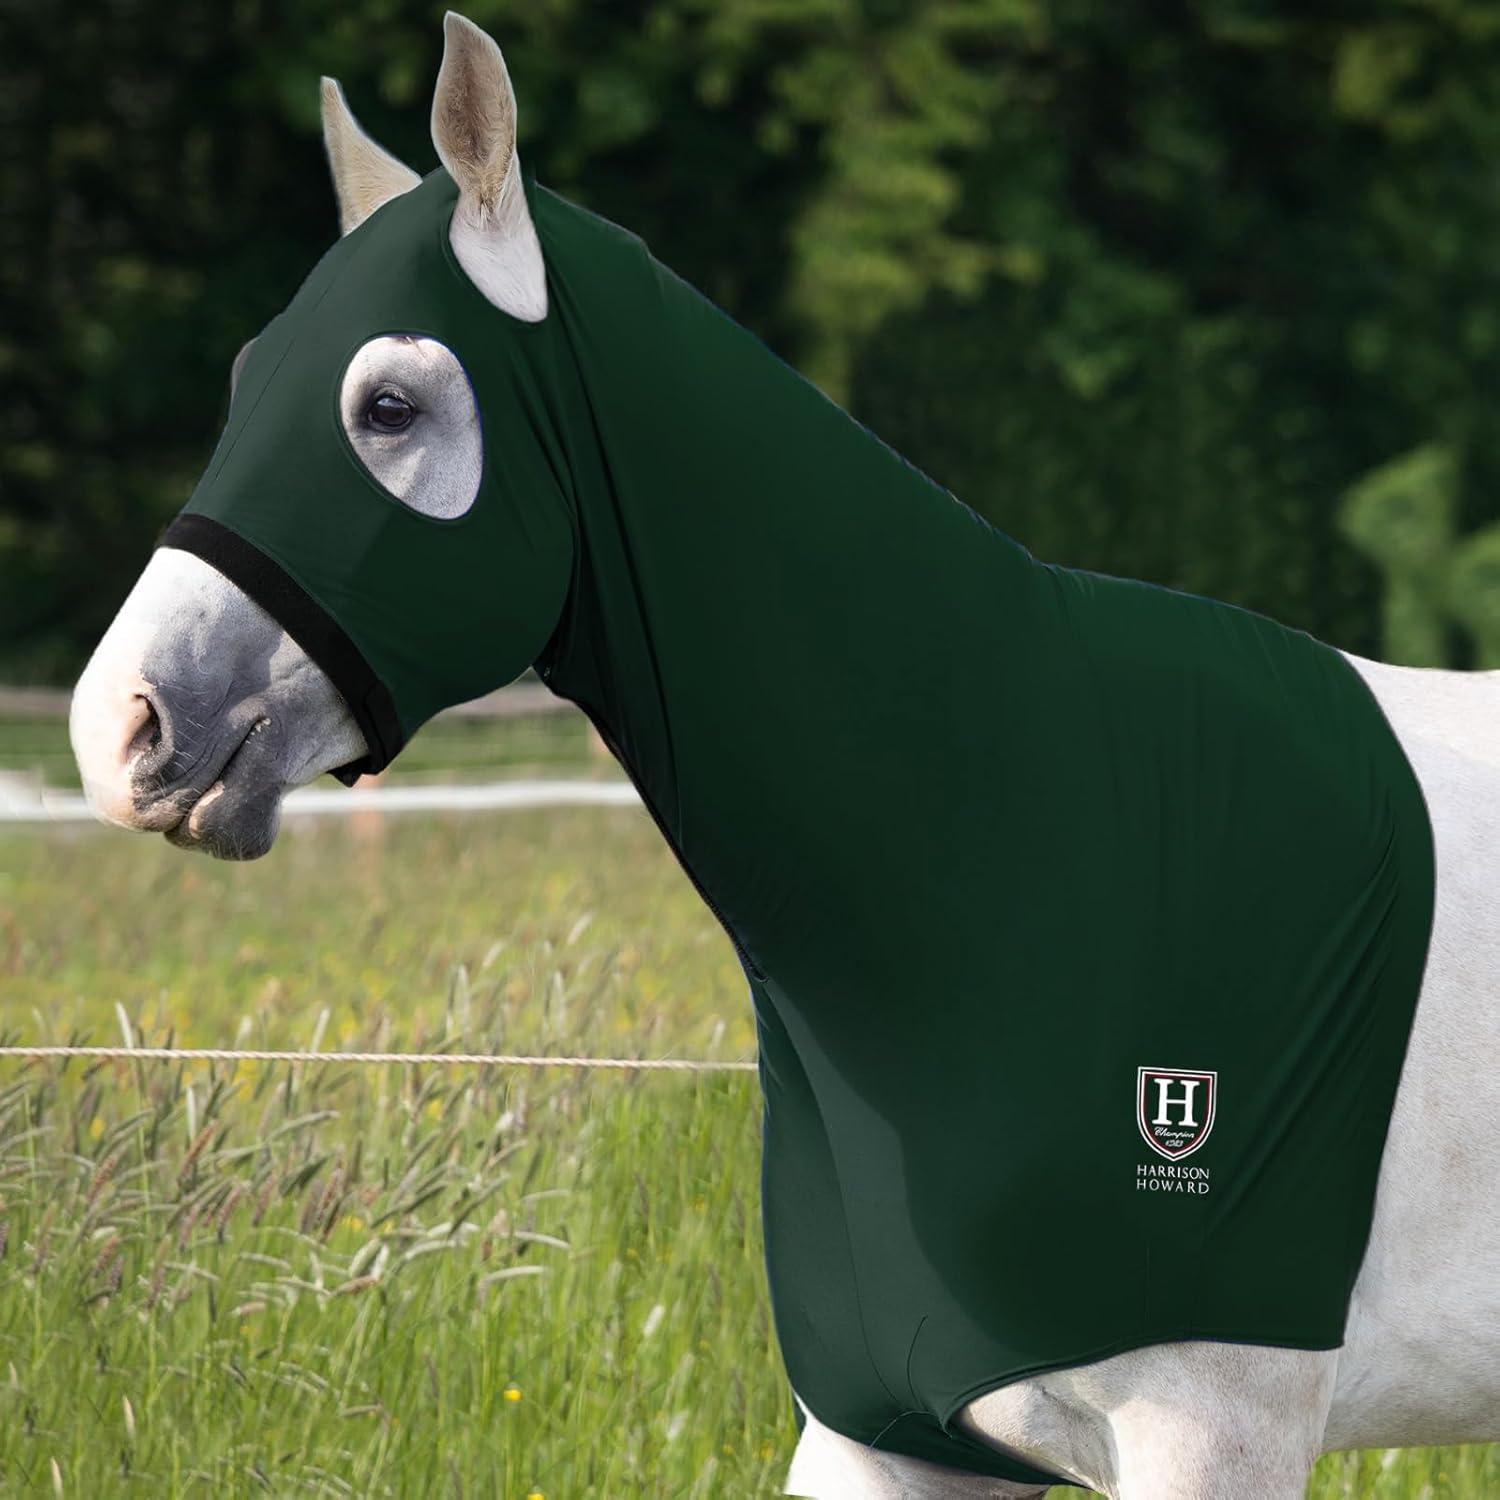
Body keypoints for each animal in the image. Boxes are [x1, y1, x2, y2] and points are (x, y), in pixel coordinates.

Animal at [68, 15, 1500, 1497]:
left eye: (389, 405)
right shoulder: (882, 1430)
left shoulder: (1217, 1432)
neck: (1031, 844)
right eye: (248, 379)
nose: (122, 729)